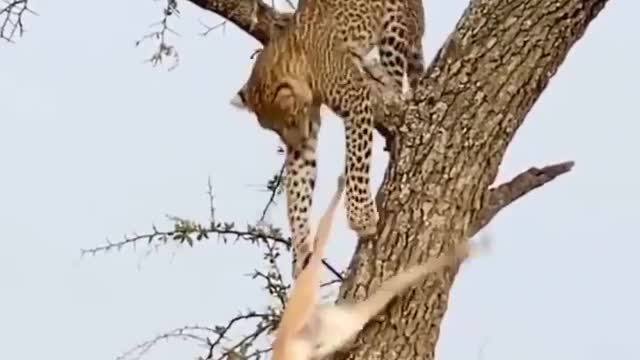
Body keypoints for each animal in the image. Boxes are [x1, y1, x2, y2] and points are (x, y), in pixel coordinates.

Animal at [230, 0, 424, 278]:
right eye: (275, 131)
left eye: (290, 120)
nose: (296, 142)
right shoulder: (306, 144)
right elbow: (298, 196)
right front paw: (300, 254)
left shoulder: (355, 99)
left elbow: (356, 161)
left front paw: (361, 217)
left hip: (394, 32)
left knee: (396, 77)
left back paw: (386, 83)